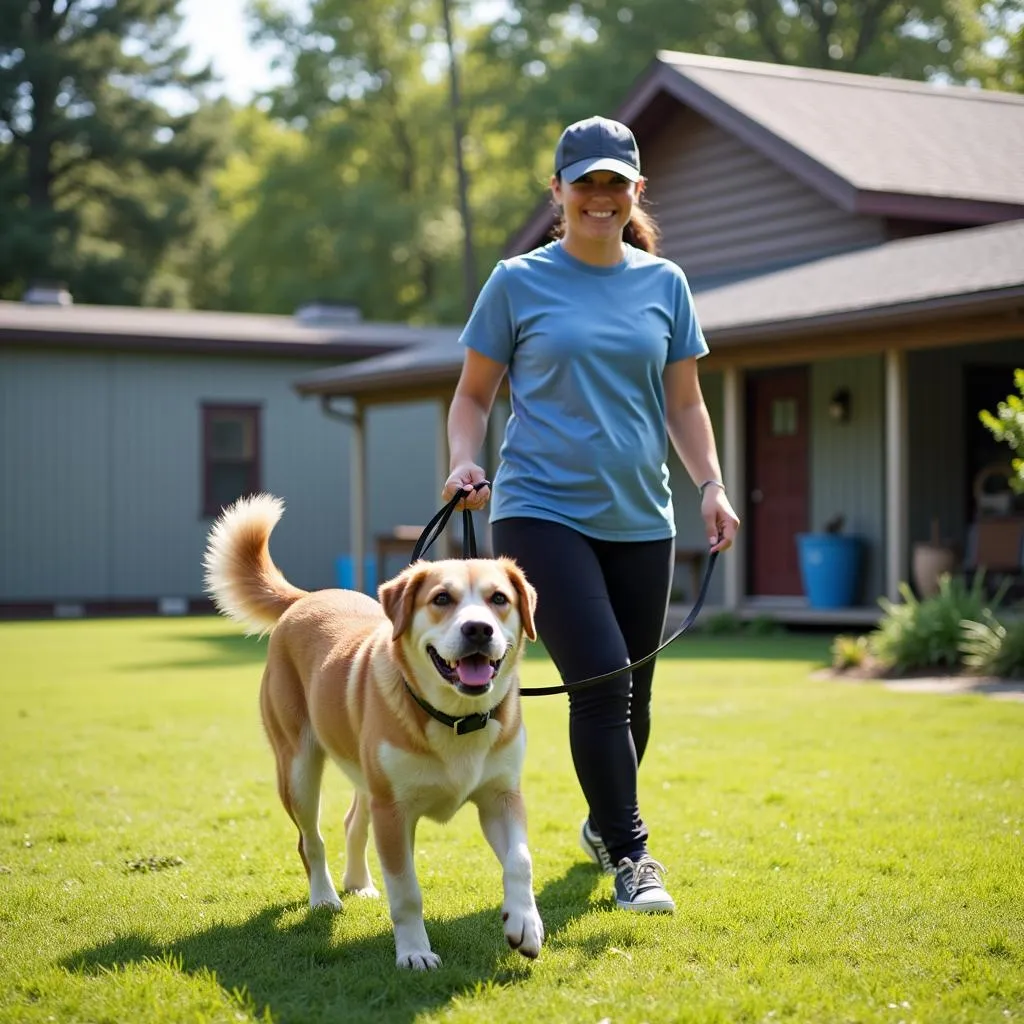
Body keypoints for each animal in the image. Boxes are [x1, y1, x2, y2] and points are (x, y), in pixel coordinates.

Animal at [202, 493, 548, 966]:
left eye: (499, 598)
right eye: (442, 598)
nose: (478, 629)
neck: (456, 717)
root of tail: (306, 599)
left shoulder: (501, 796)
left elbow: (520, 860)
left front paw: (524, 922)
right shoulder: (393, 811)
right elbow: (406, 892)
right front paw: (415, 952)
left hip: (365, 775)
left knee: (352, 821)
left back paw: (358, 882)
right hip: (298, 769)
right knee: (310, 839)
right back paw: (325, 896)